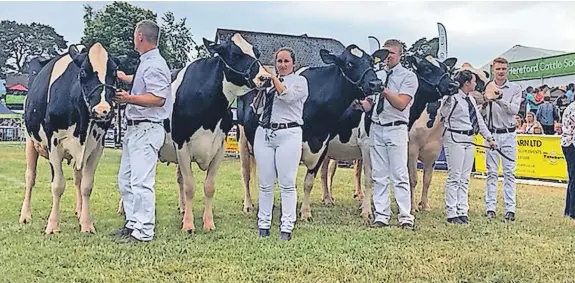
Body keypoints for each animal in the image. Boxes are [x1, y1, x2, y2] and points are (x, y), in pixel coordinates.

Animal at [19, 43, 120, 234]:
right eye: (83, 72)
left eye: (114, 73)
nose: (102, 110)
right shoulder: (54, 144)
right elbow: (57, 185)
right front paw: (52, 226)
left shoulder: (97, 147)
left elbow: (87, 186)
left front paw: (86, 224)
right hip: (30, 141)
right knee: (30, 177)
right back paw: (25, 216)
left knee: (78, 178)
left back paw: (79, 212)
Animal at [156, 33, 274, 234]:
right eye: (235, 54)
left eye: (257, 53)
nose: (265, 77)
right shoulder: (182, 145)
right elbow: (190, 186)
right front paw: (188, 225)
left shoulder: (219, 147)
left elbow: (209, 186)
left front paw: (208, 223)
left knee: (179, 178)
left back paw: (182, 208)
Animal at [238, 45, 388, 222]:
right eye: (349, 64)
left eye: (371, 61)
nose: (376, 84)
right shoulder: (365, 144)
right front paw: (366, 211)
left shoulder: (322, 145)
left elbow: (309, 181)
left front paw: (305, 212)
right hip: (243, 141)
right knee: (246, 173)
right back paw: (248, 205)